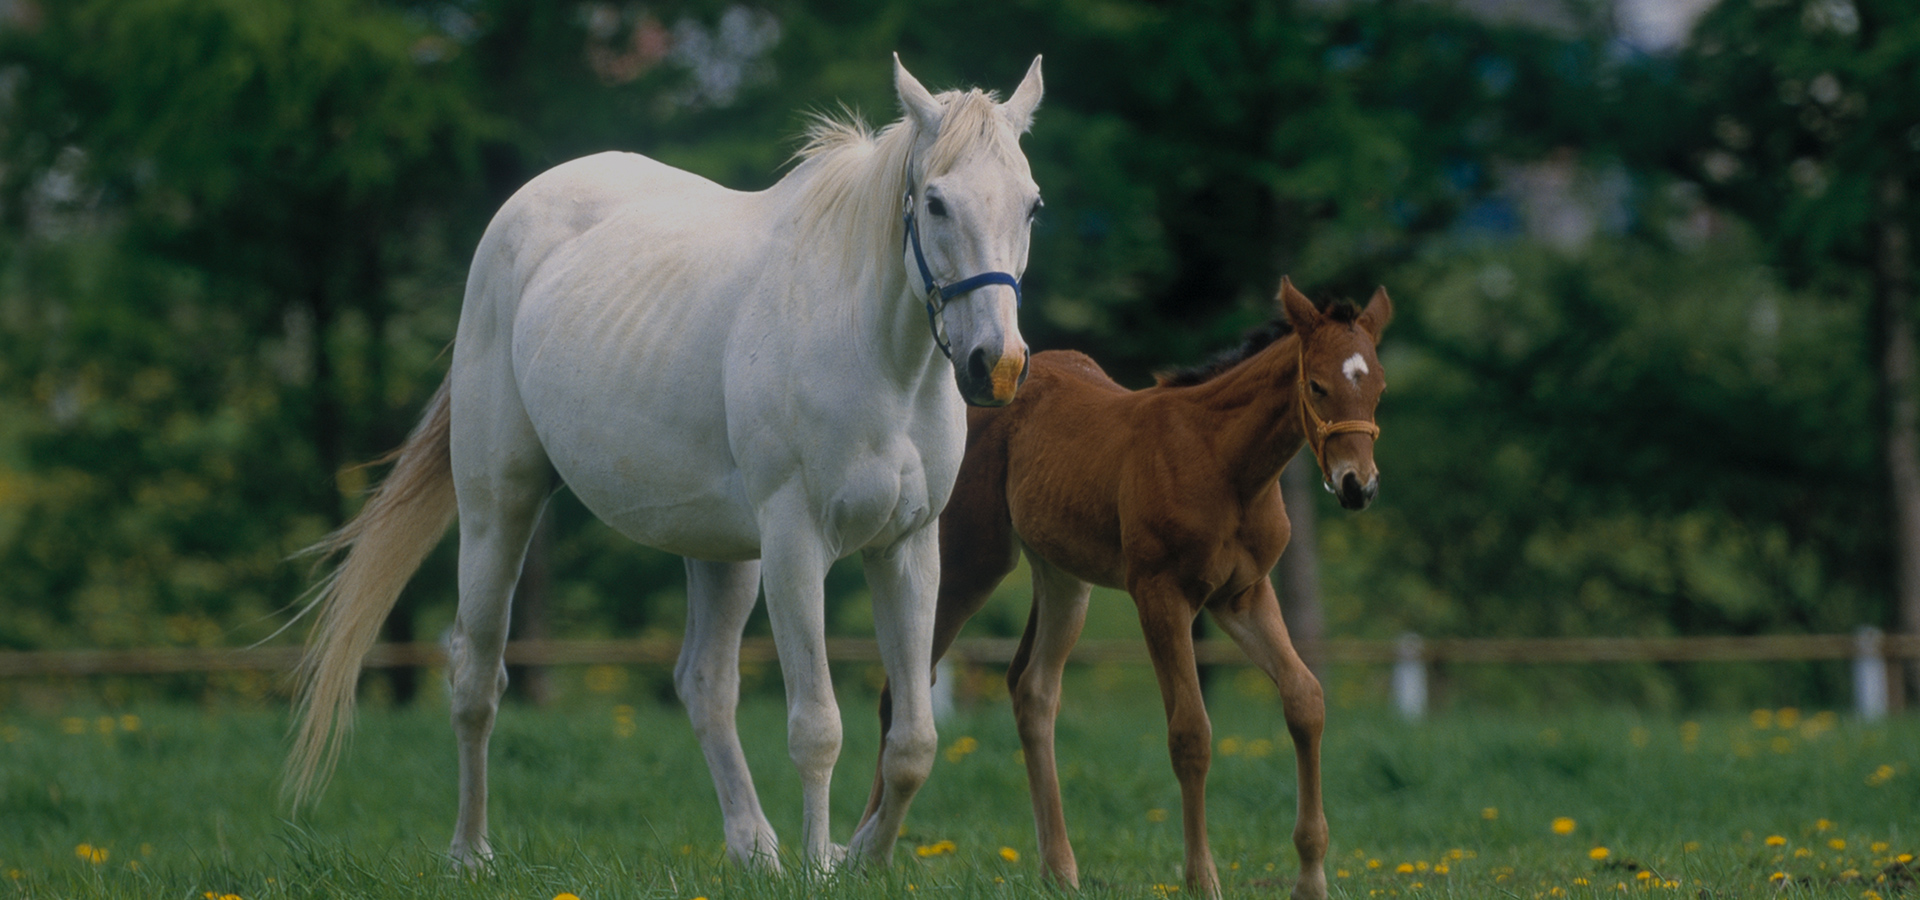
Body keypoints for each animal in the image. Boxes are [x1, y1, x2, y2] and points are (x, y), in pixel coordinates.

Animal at [280, 56, 1052, 871]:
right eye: (935, 203)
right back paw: (471, 852)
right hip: (500, 510)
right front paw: (820, 864)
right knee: (475, 675)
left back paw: (753, 849)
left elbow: (913, 740)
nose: (996, 365)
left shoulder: (907, 547)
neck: (873, 352)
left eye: (1032, 207)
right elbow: (817, 727)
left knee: (703, 683)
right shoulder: (796, 546)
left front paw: (863, 856)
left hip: (721, 552)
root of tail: (522, 213)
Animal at [864, 276, 1390, 894]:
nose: (1357, 486)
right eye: (1317, 385)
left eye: (1378, 387)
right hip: (972, 561)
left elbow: (1305, 700)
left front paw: (1310, 878)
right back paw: (863, 851)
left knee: (1032, 689)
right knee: (900, 690)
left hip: (1064, 577)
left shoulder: (1242, 596)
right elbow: (1190, 734)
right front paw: (1201, 880)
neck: (1223, 462)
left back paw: (1060, 870)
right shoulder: (1160, 595)